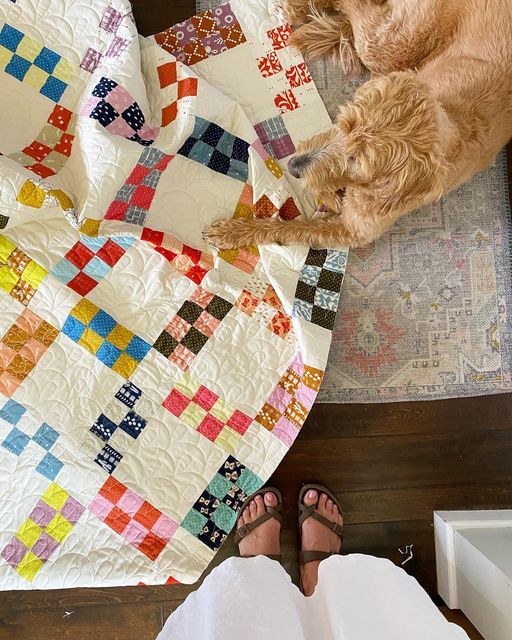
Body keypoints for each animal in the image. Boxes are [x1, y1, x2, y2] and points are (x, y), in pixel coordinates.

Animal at [204, 0, 512, 250]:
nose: (293, 166)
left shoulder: (353, 230)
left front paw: (236, 231)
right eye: (343, 123)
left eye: (356, 160)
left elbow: (293, 227)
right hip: (390, 47)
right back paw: (296, 10)